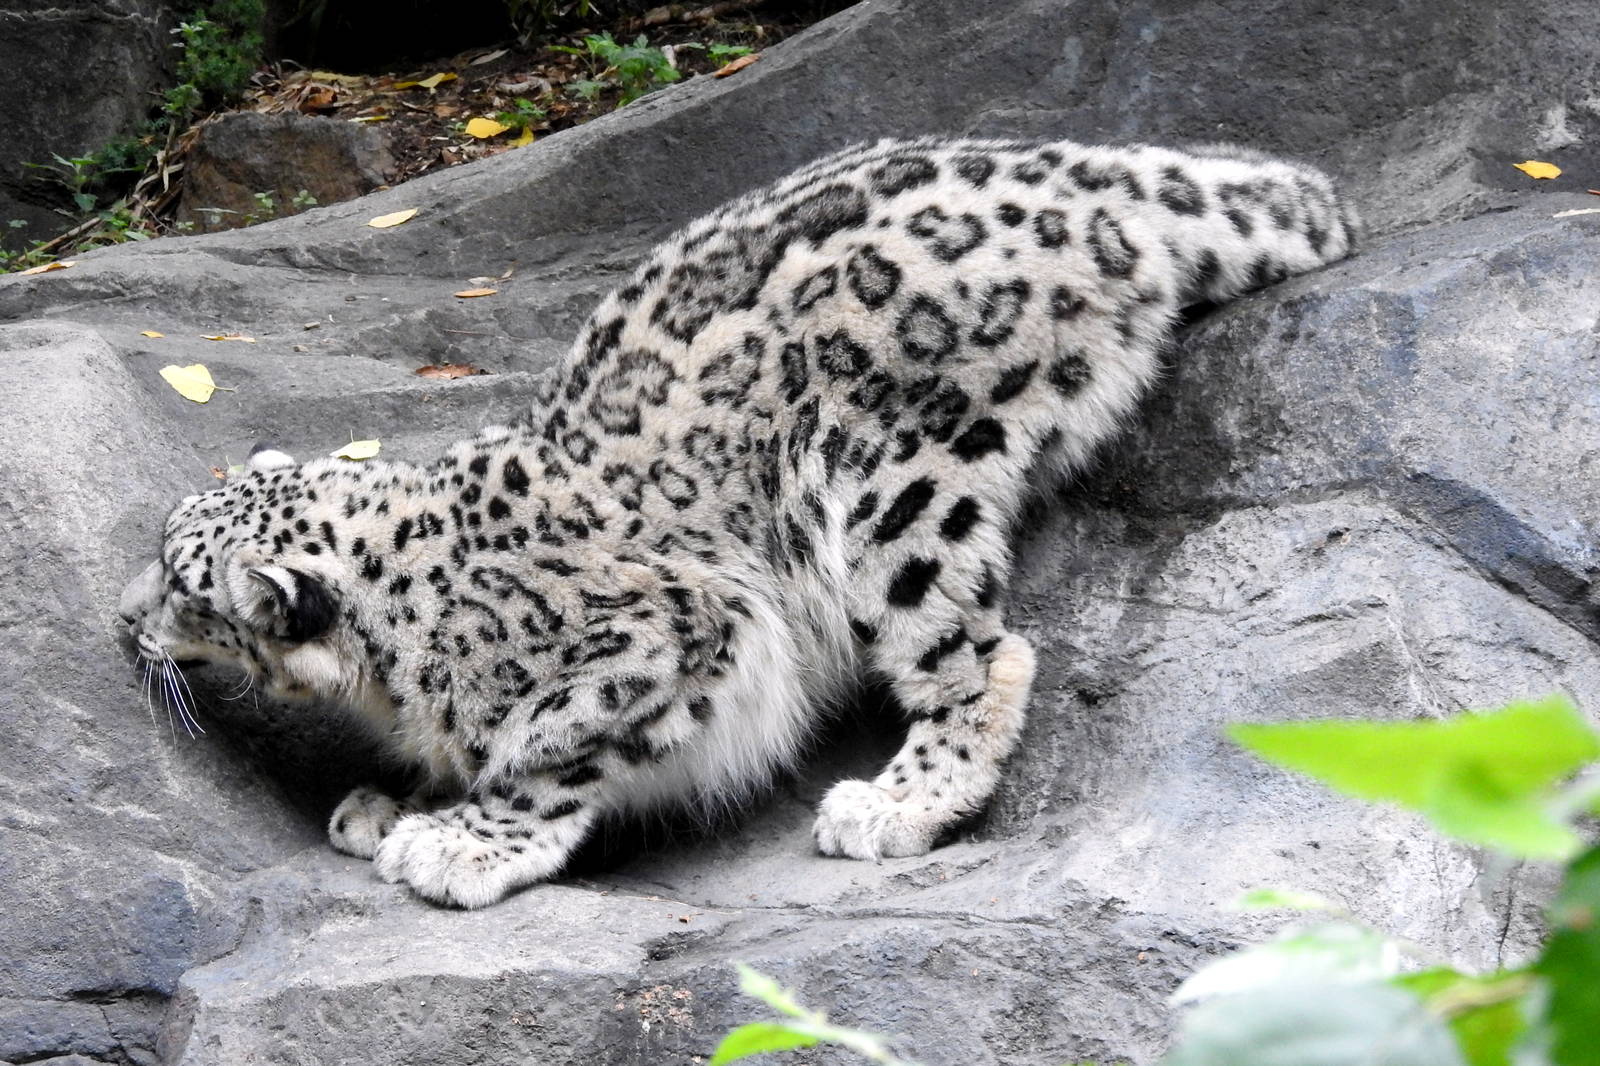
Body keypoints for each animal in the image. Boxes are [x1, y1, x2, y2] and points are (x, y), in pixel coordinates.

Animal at [119, 136, 1358, 908]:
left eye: (187, 585)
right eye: (168, 551)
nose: (124, 618)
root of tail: (1086, 170)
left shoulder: (673, 629)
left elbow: (550, 746)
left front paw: (461, 841)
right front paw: (394, 799)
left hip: (894, 492)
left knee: (983, 653)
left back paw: (897, 802)